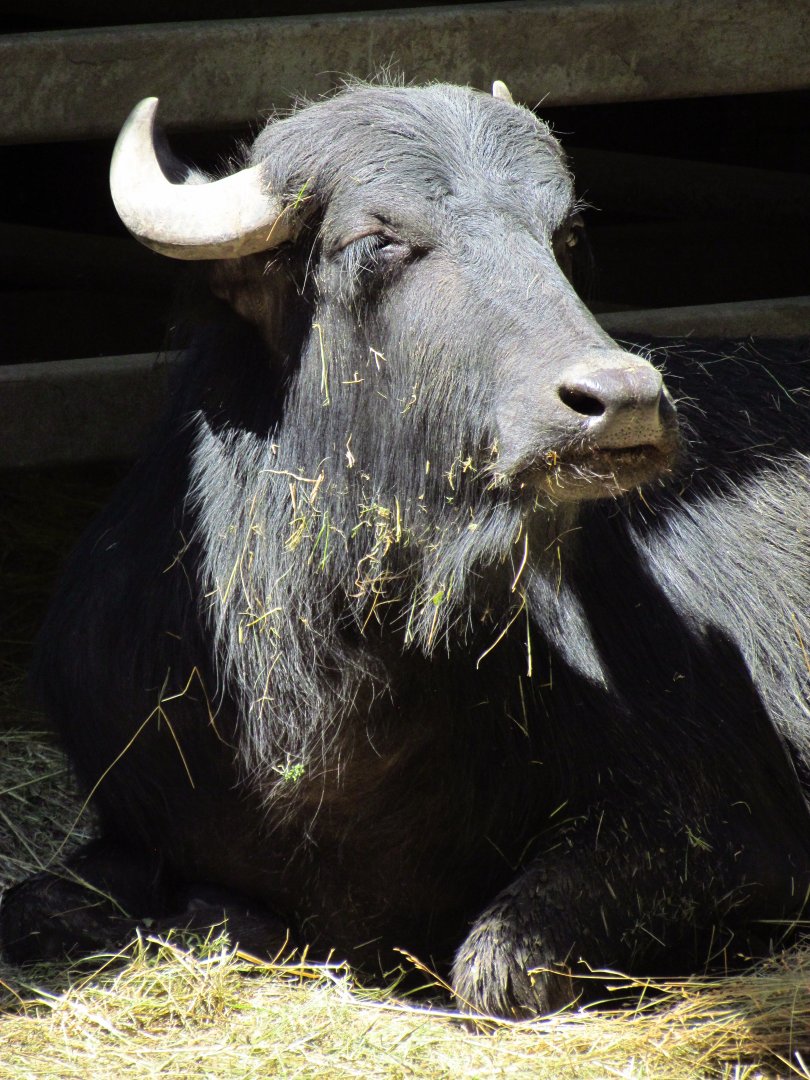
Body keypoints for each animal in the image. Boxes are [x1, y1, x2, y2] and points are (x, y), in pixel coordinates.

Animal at [2, 81, 809, 1018]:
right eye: (379, 240)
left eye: (564, 233)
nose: (623, 401)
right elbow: (49, 905)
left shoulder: (733, 837)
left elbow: (493, 965)